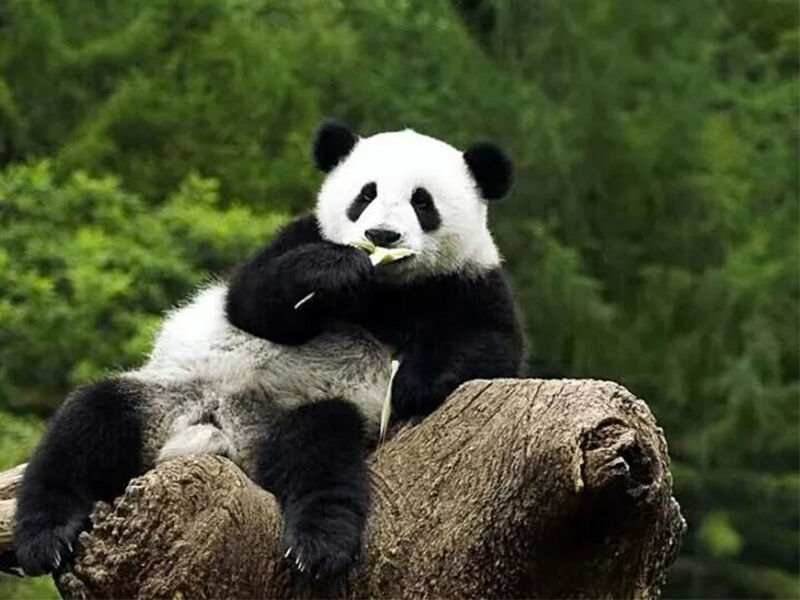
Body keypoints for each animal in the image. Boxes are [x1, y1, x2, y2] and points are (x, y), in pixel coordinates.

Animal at [10, 122, 525, 580]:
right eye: (365, 195)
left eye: (422, 201)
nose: (381, 236)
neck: (386, 288)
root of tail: (219, 431)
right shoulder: (299, 236)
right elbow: (251, 301)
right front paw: (332, 271)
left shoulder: (468, 281)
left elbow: (491, 346)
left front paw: (413, 384)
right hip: (167, 395)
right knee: (88, 423)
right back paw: (45, 537)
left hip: (294, 415)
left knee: (319, 452)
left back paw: (319, 546)